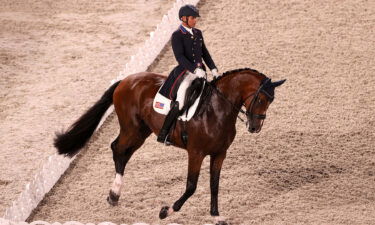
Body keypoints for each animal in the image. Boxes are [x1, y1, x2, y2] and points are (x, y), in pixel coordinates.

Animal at [54, 67, 286, 224]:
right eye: (260, 98)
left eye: (270, 101)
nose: (255, 127)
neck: (217, 110)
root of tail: (125, 80)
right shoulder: (196, 153)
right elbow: (191, 186)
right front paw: (166, 211)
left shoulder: (219, 153)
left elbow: (214, 185)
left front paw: (216, 216)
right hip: (131, 129)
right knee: (117, 149)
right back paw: (114, 194)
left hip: (142, 132)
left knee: (123, 153)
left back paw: (114, 195)